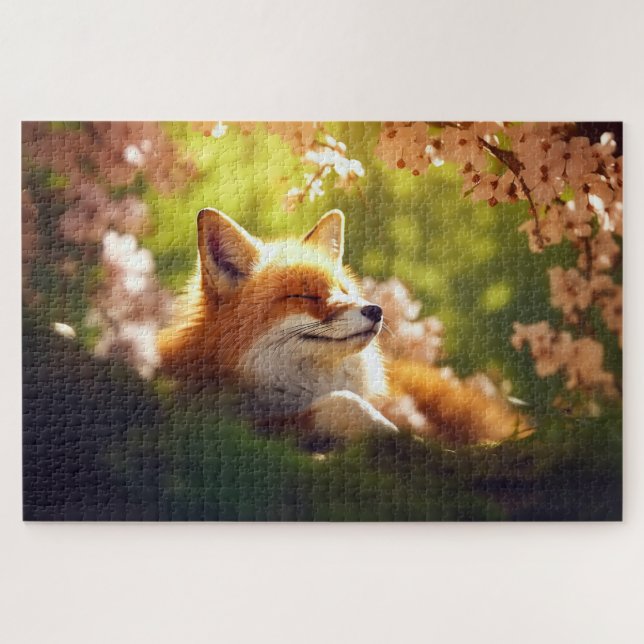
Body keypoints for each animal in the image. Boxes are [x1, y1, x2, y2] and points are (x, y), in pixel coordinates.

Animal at [158, 207, 530, 444]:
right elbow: (343, 402)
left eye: (344, 291)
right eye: (305, 295)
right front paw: (391, 432)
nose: (376, 310)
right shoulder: (227, 421)